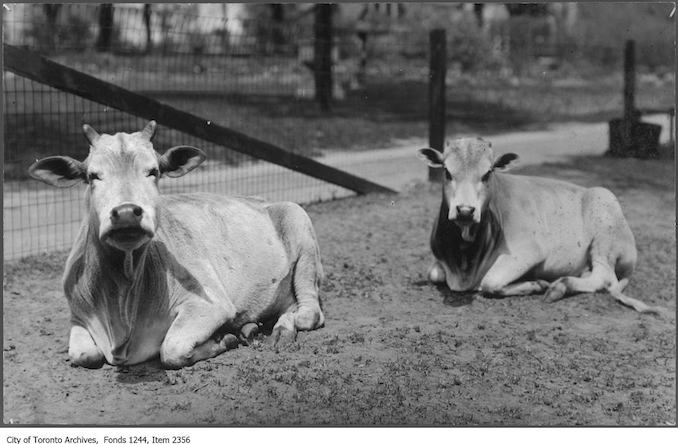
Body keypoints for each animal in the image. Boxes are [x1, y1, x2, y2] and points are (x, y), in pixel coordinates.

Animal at [30, 121, 328, 368]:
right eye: (93, 175)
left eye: (154, 171)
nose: (126, 213)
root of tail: (261, 199)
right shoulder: (78, 315)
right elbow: (83, 355)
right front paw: (232, 335)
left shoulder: (211, 303)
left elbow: (171, 349)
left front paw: (224, 340)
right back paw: (253, 329)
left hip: (299, 224)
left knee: (308, 312)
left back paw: (281, 331)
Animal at [418, 137, 668, 314]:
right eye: (447, 171)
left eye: (487, 173)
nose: (465, 211)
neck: (464, 263)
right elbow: (433, 274)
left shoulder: (528, 251)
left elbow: (490, 282)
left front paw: (537, 284)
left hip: (604, 236)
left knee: (604, 278)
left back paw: (559, 287)